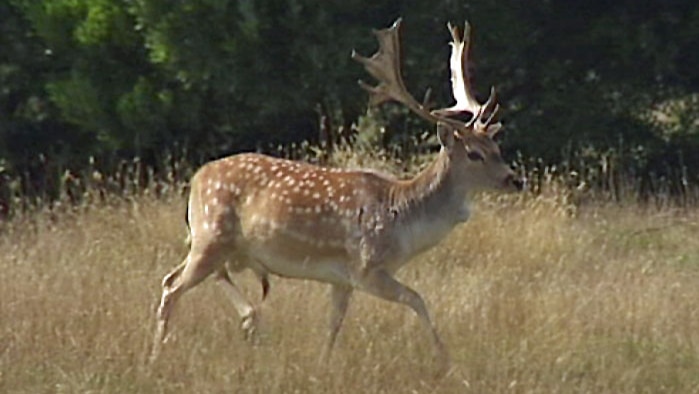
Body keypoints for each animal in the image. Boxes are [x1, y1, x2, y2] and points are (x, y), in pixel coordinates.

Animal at [154, 18, 524, 368]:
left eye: (496, 147)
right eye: (474, 154)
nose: (514, 180)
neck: (403, 220)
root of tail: (197, 179)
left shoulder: (342, 279)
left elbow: (333, 326)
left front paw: (323, 364)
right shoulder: (366, 267)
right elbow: (418, 299)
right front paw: (445, 362)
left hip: (221, 244)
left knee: (186, 276)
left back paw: (248, 320)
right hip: (211, 235)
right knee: (172, 285)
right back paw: (158, 353)